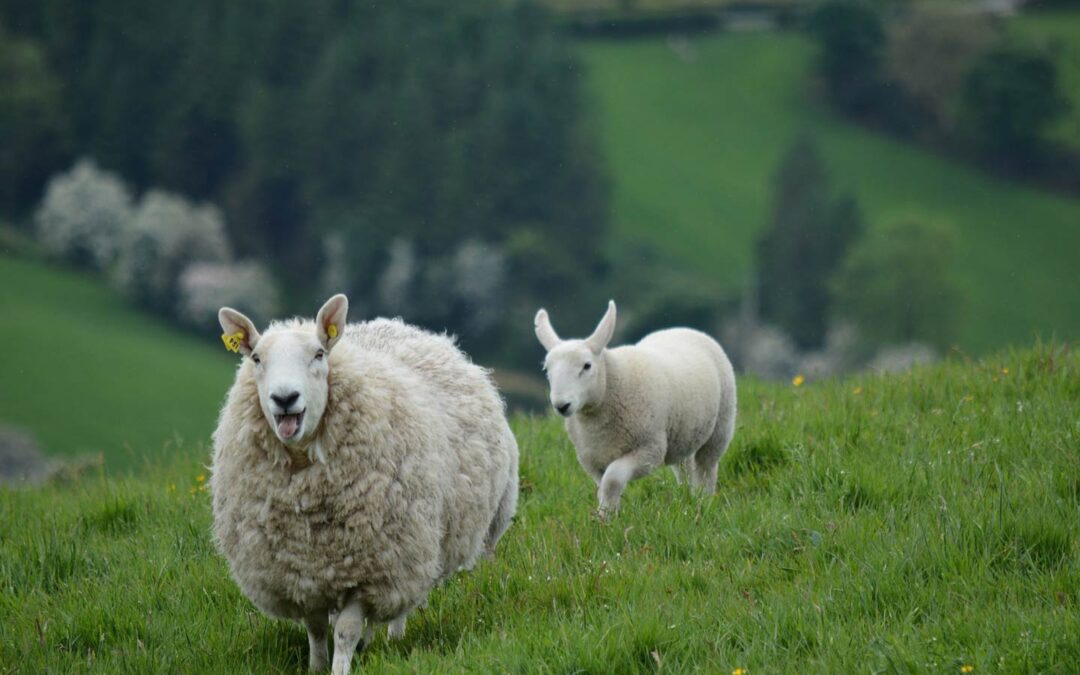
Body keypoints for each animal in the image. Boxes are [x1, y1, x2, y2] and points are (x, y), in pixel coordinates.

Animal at [211, 294, 518, 674]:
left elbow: (345, 630)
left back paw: (393, 638)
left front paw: (340, 667)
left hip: (415, 547)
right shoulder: (300, 571)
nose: (284, 399)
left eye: (319, 354)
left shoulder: (370, 568)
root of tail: (401, 327)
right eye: (256, 358)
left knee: (402, 601)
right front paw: (316, 666)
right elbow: (316, 627)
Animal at [534, 300, 736, 516]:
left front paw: (605, 516)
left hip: (721, 426)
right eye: (547, 369)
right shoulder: (592, 460)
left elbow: (613, 479)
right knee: (685, 466)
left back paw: (703, 501)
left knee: (706, 467)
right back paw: (688, 499)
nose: (561, 405)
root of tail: (682, 329)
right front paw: (607, 514)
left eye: (587, 366)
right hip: (684, 433)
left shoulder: (649, 450)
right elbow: (603, 486)